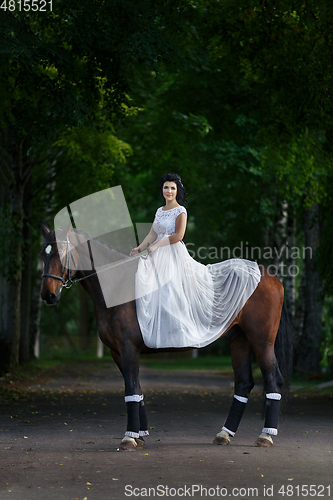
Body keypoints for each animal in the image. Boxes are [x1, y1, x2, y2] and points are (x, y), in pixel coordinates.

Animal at [39, 221, 292, 452]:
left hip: (261, 341)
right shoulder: (116, 351)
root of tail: (270, 276)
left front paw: (129, 437)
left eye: (61, 253)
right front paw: (140, 435)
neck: (118, 286)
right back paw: (224, 434)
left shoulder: (129, 348)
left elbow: (131, 389)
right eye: (43, 253)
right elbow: (137, 390)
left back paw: (265, 436)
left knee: (272, 379)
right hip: (239, 340)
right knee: (243, 383)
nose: (48, 296)